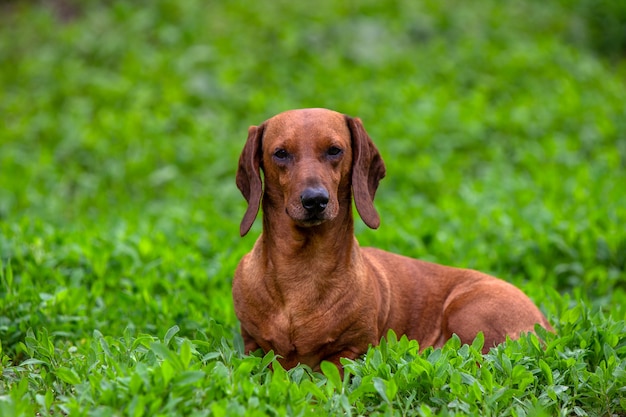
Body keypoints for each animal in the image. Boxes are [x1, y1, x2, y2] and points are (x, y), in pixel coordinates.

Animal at [232, 107, 548, 370]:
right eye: (280, 153)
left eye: (335, 150)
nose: (315, 200)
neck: (303, 268)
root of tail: (545, 323)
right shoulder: (252, 347)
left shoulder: (352, 351)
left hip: (468, 314)